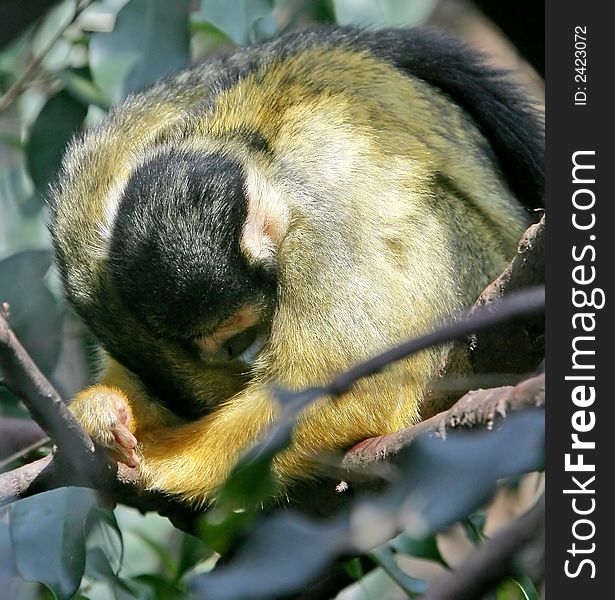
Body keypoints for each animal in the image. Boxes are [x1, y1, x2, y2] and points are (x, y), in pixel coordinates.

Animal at [50, 28, 548, 506]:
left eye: (236, 335)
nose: (239, 355)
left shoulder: (317, 230)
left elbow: (359, 384)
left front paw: (162, 458)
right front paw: (104, 411)